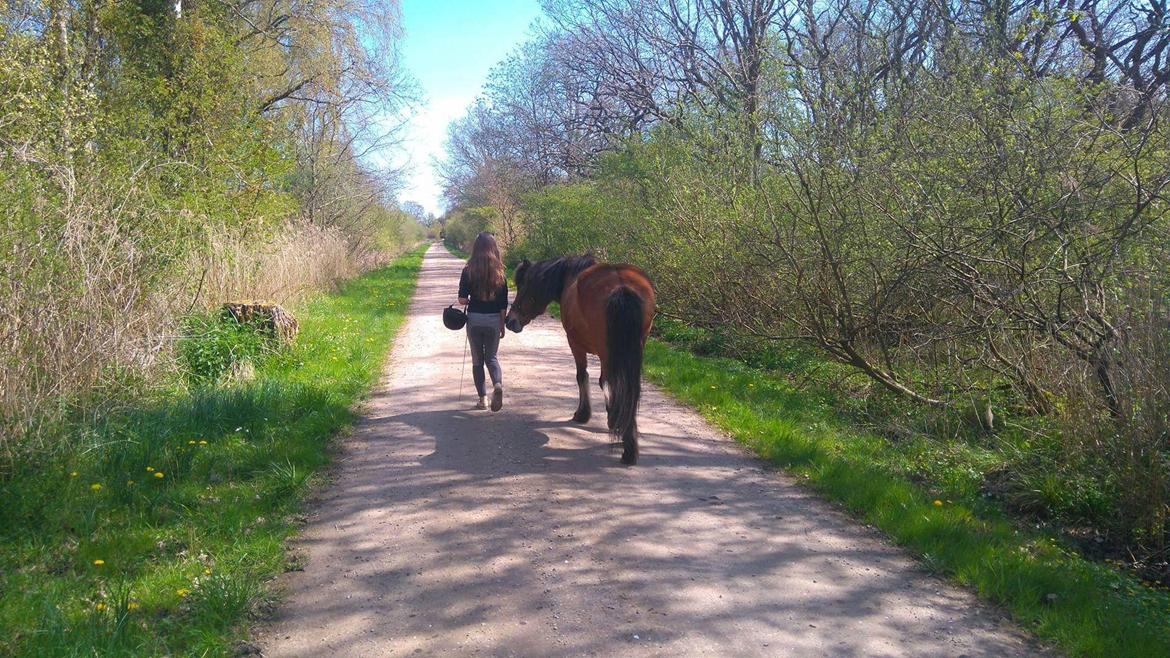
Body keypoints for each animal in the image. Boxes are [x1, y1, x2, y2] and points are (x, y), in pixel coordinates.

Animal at [503, 254, 655, 463]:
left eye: (523, 285)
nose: (510, 321)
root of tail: (621, 286)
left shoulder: (575, 344)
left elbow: (582, 376)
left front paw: (583, 414)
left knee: (614, 384)